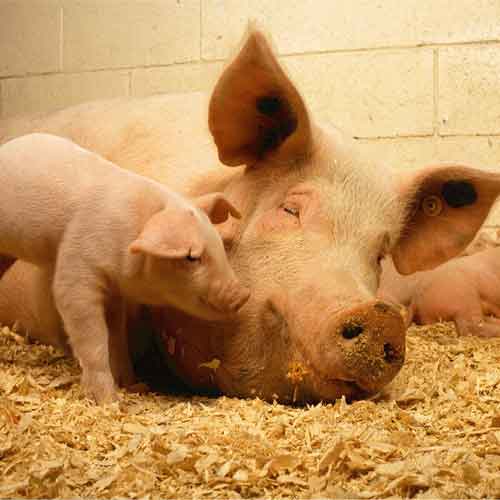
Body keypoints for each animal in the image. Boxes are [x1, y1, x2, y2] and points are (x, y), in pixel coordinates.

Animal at [0, 133, 249, 403]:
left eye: (219, 245)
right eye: (191, 257)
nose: (243, 294)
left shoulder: (114, 292)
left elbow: (117, 337)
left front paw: (134, 386)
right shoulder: (77, 264)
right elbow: (92, 335)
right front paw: (109, 401)